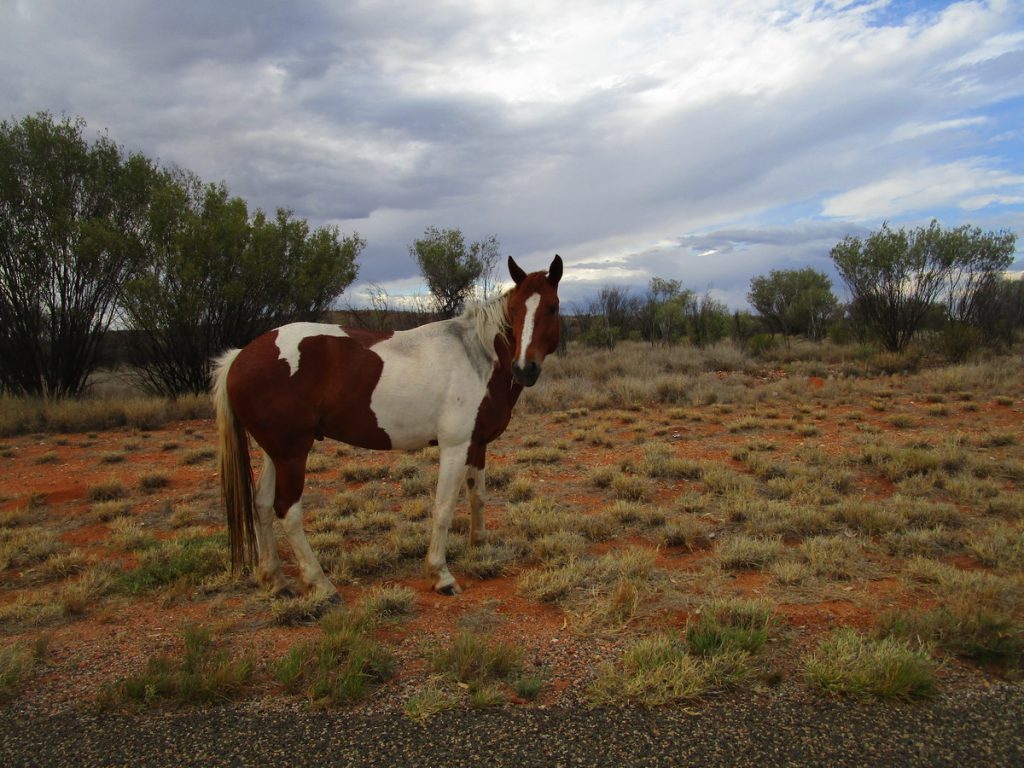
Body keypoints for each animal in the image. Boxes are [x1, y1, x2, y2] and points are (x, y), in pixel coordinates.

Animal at [207, 256, 561, 598]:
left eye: (551, 307)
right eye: (515, 311)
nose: (524, 369)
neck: (477, 355)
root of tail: (240, 356)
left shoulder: (477, 444)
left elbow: (478, 496)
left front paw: (480, 547)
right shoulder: (455, 446)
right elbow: (444, 507)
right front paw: (441, 575)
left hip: (276, 453)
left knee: (263, 505)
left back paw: (277, 581)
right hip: (293, 454)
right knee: (287, 511)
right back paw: (321, 585)